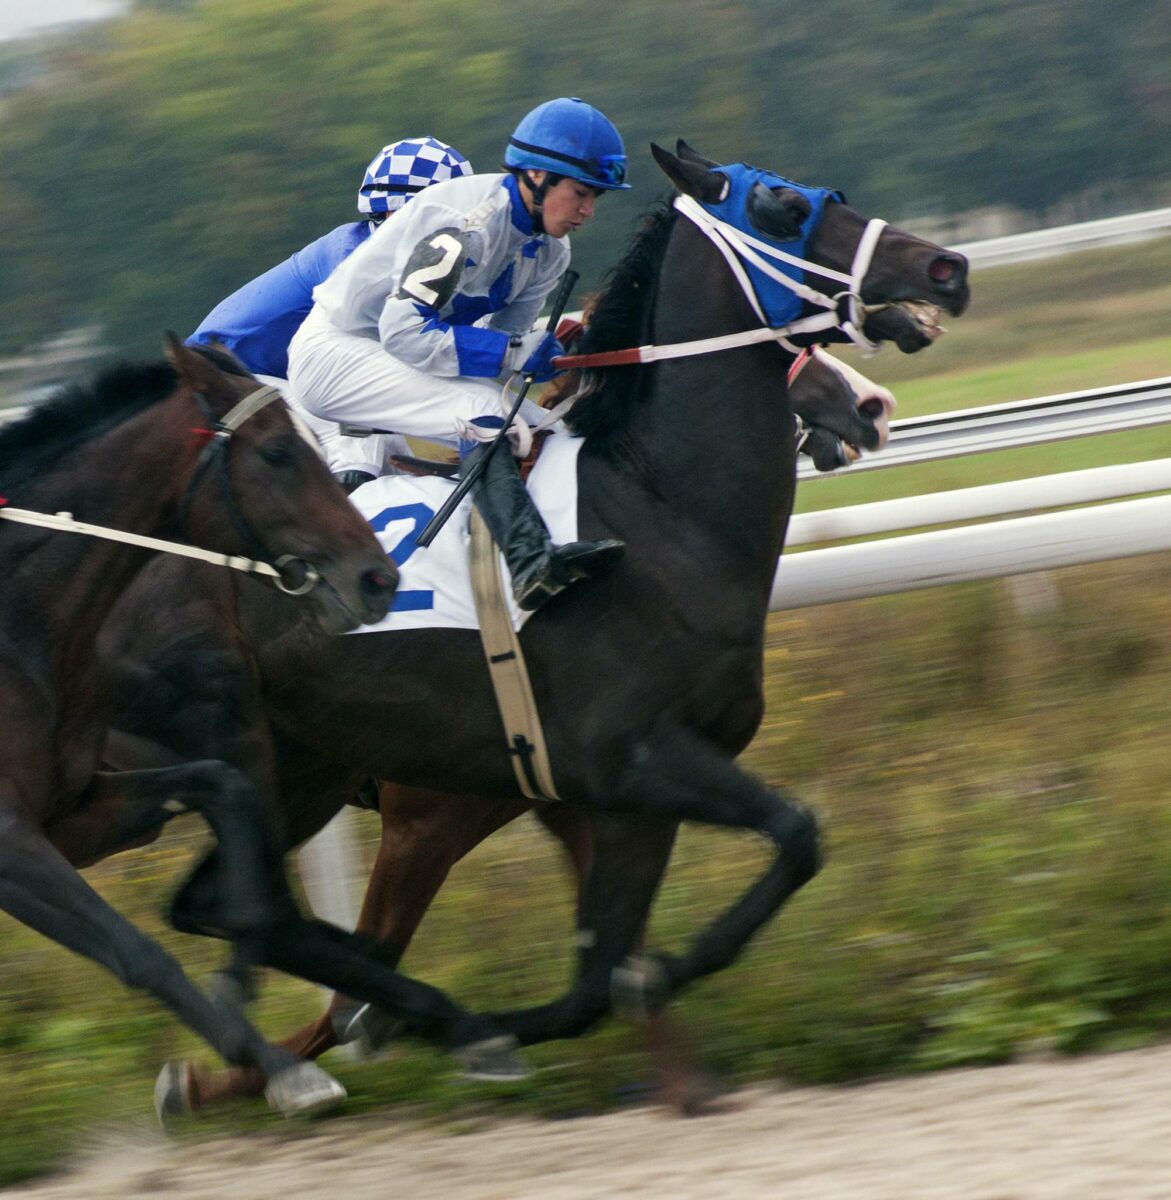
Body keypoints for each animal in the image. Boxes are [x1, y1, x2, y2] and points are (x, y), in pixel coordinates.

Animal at [100, 145, 964, 1108]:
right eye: (782, 205)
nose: (944, 269)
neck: (656, 512)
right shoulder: (604, 767)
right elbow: (790, 836)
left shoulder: (612, 792)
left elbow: (608, 966)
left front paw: (626, 1017)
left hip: (301, 773)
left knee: (220, 904)